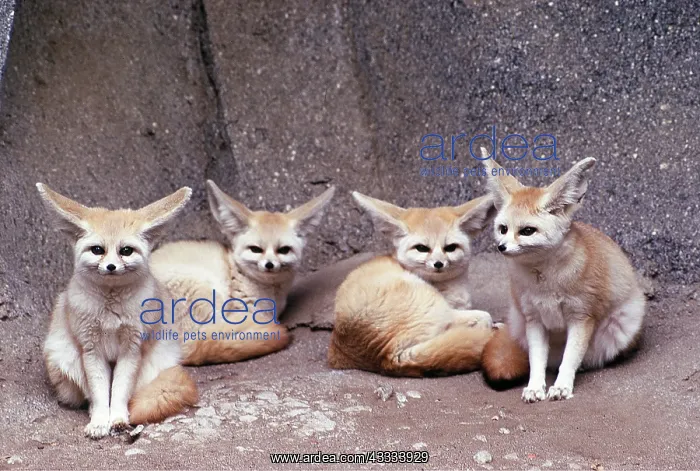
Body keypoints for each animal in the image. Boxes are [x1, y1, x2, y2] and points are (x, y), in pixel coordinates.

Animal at [38, 183, 199, 439]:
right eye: (97, 250)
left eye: (126, 251)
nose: (111, 267)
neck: (111, 311)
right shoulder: (91, 350)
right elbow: (100, 393)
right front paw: (100, 422)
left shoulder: (131, 349)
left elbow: (121, 391)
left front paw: (119, 419)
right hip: (63, 356)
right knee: (89, 396)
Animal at [328, 192, 498, 377]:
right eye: (422, 248)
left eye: (450, 248)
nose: (438, 264)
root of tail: (386, 357)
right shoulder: (452, 312)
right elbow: (483, 317)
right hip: (434, 306)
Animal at [480, 152, 646, 402]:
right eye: (503, 229)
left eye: (527, 231)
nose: (501, 247)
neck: (544, 280)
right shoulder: (534, 319)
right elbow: (537, 361)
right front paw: (535, 387)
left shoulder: (581, 317)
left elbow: (570, 358)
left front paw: (561, 386)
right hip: (520, 323)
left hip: (621, 326)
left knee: (581, 357)